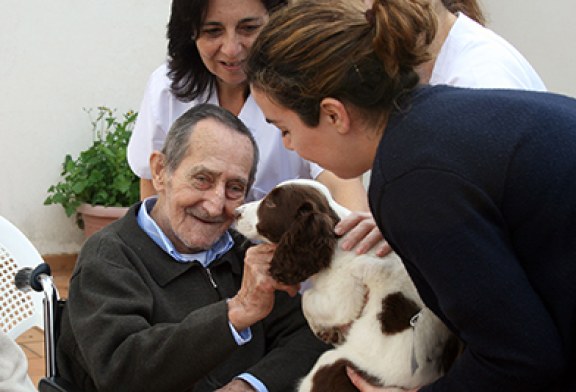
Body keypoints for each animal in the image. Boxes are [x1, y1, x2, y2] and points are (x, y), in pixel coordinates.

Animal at [234, 179, 460, 390]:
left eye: (271, 203)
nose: (236, 212)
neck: (335, 239)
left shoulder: (343, 294)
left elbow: (308, 299)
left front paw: (323, 331)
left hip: (332, 364)